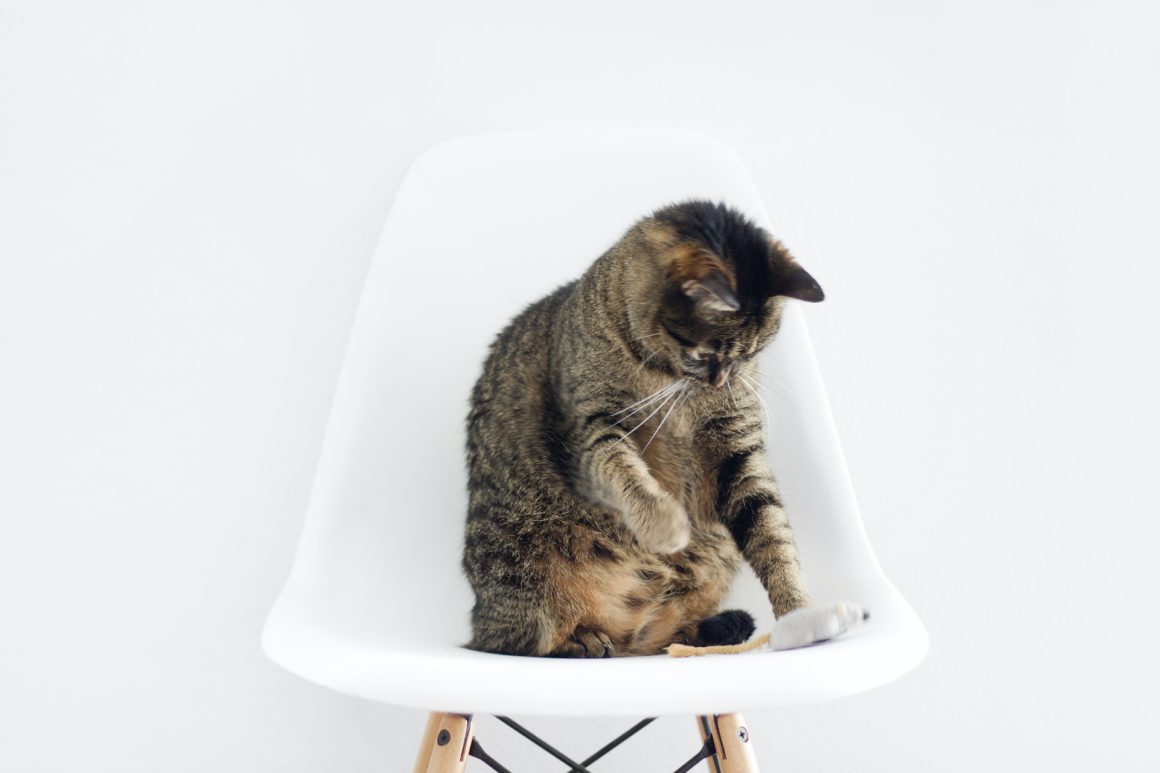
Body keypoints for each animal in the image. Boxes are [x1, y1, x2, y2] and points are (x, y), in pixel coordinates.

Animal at [461, 198, 825, 654]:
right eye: (706, 354)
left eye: (750, 354)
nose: (722, 381)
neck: (674, 385)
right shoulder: (592, 431)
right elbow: (624, 472)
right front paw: (666, 523)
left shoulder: (737, 448)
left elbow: (773, 535)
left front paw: (801, 613)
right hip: (520, 570)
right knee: (526, 641)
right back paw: (582, 640)